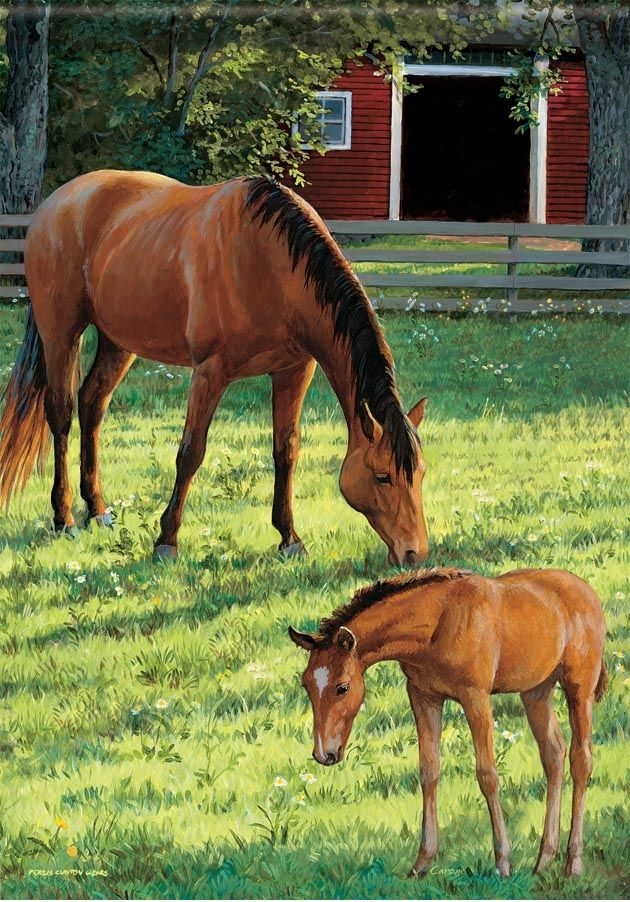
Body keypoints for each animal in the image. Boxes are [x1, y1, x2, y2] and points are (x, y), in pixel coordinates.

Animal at [0, 170, 429, 565]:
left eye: (420, 473)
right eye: (382, 475)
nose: (415, 553)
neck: (268, 261)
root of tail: (56, 203)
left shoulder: (293, 371)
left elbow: (286, 450)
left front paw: (289, 538)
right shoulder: (210, 372)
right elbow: (191, 452)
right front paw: (167, 541)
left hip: (117, 341)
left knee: (92, 404)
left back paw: (98, 510)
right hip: (61, 334)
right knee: (61, 415)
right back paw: (64, 517)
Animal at [289, 567, 607, 878]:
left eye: (342, 687)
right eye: (306, 685)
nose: (324, 754)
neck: (438, 622)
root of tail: (586, 591)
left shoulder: (475, 698)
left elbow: (487, 775)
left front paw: (503, 863)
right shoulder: (424, 697)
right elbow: (429, 771)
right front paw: (422, 862)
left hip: (579, 689)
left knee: (581, 760)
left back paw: (572, 864)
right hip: (536, 692)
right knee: (553, 755)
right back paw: (543, 861)